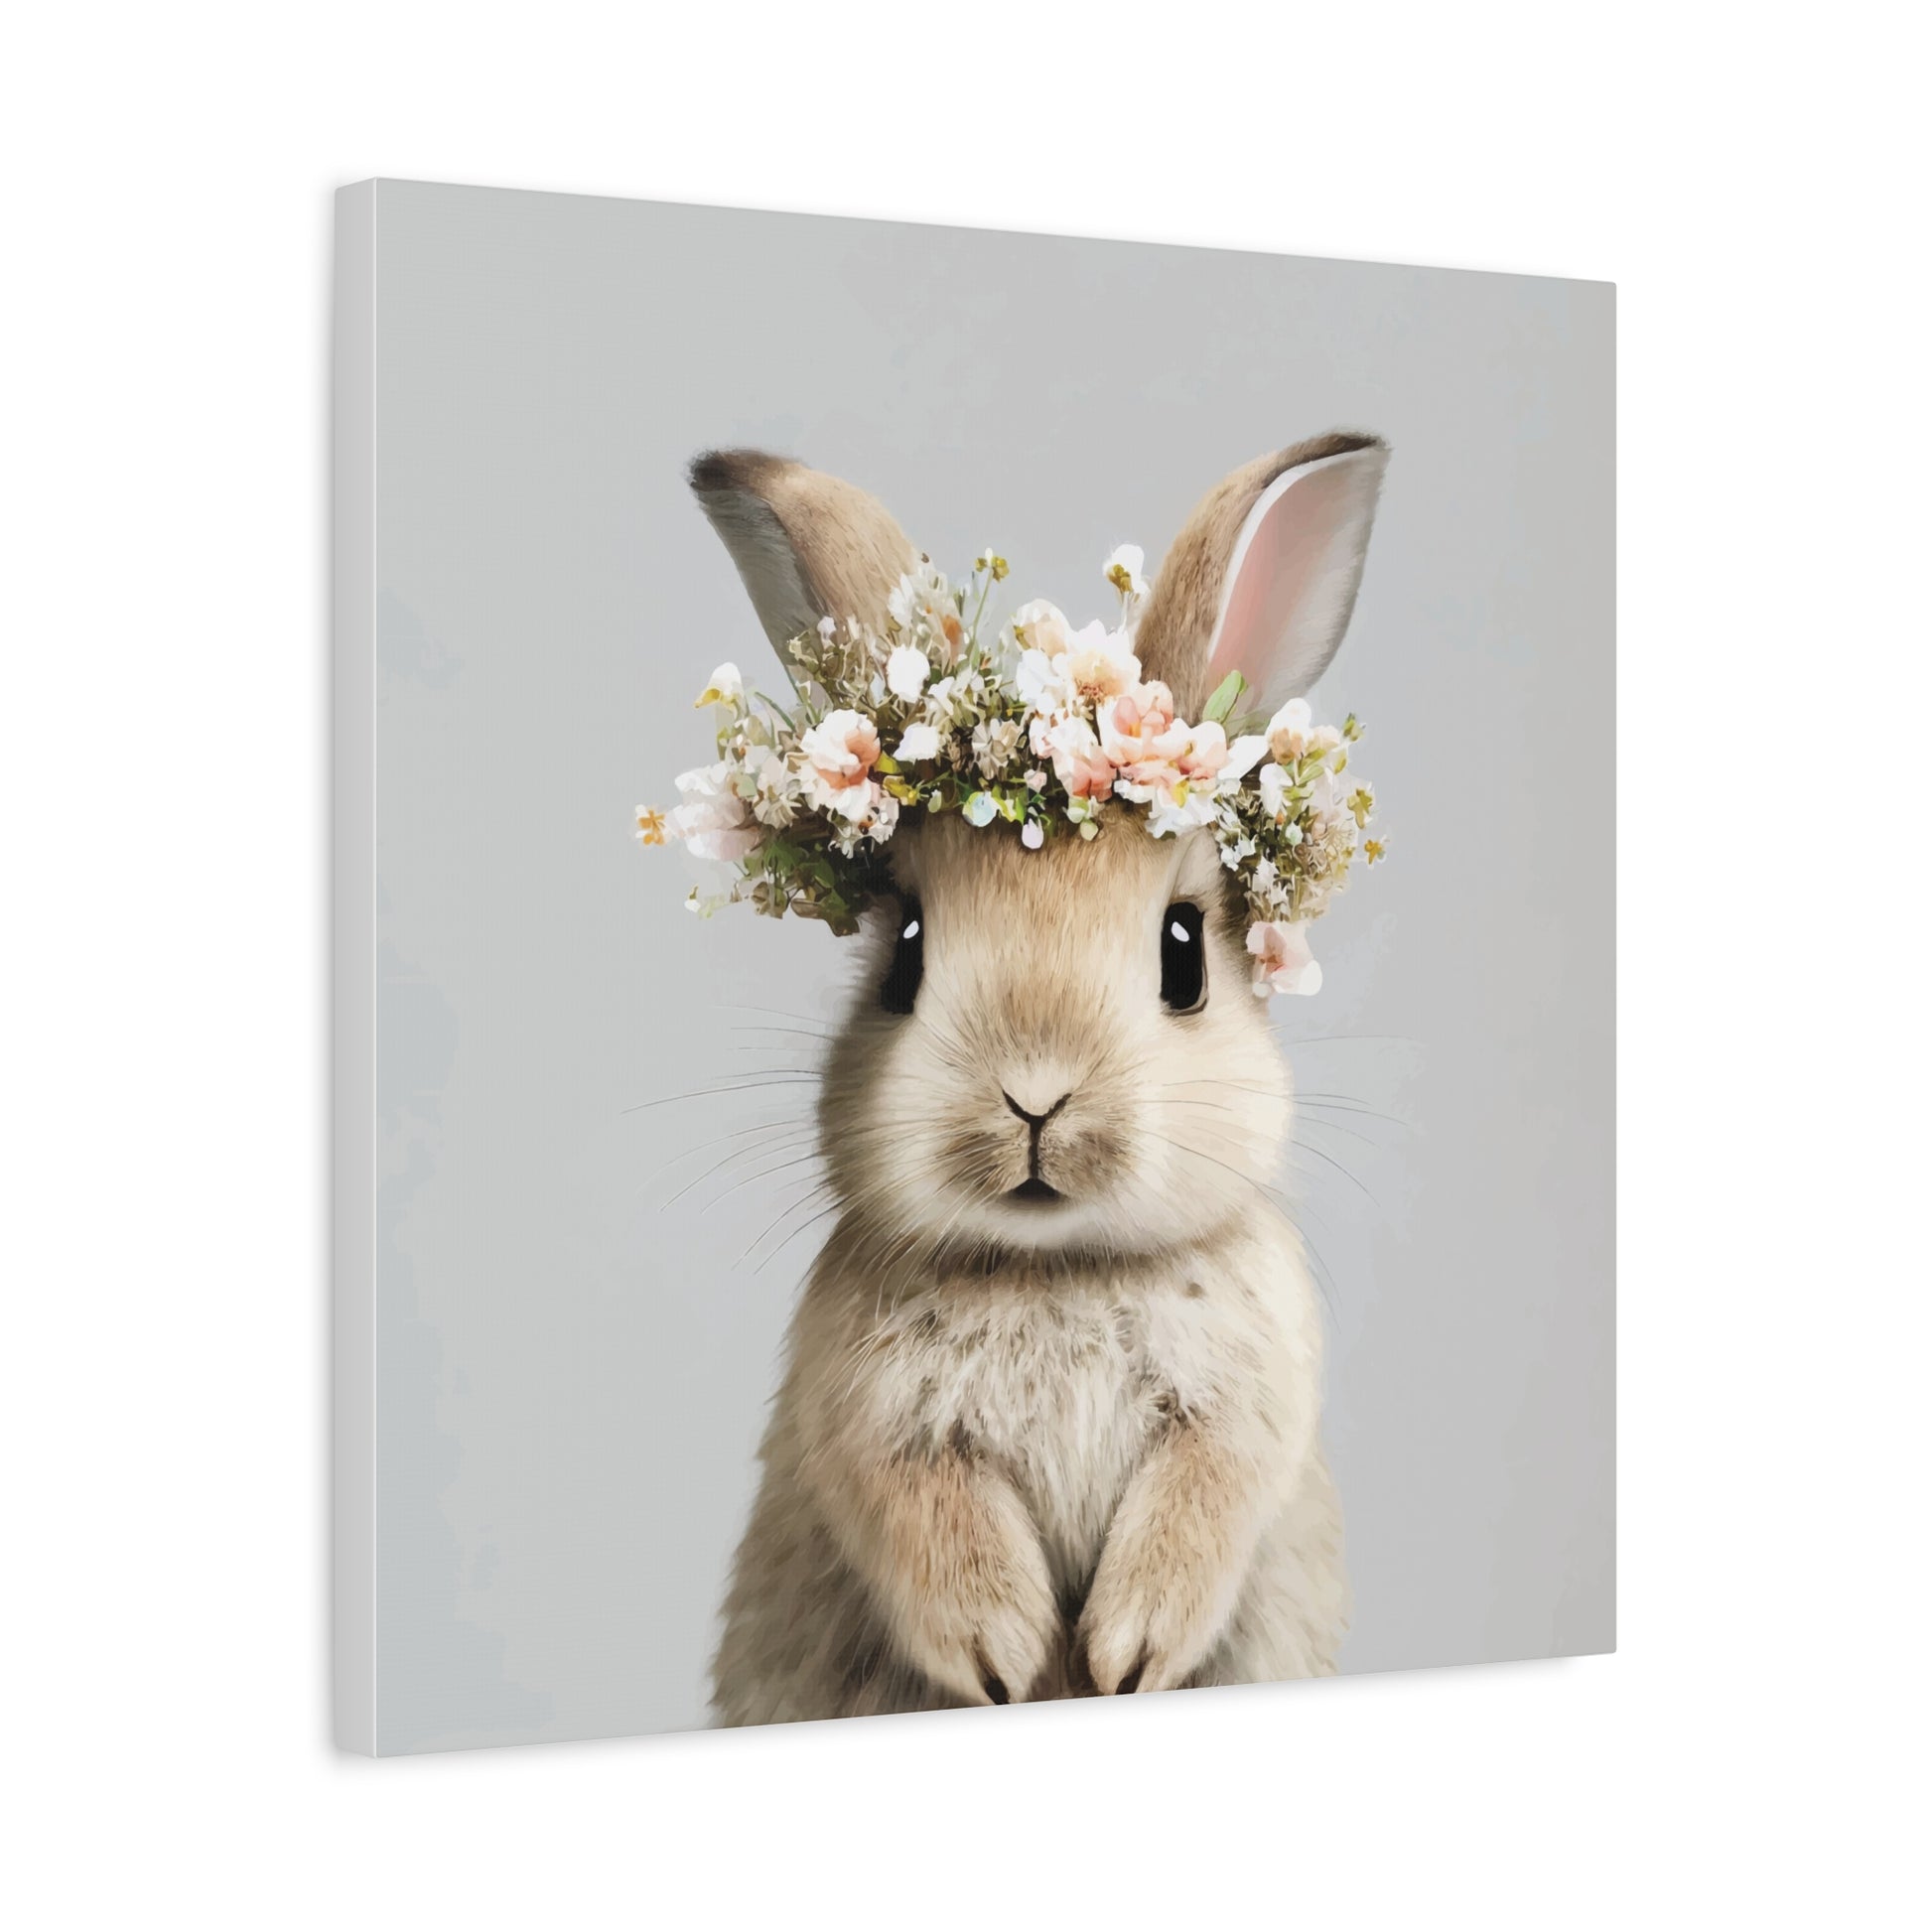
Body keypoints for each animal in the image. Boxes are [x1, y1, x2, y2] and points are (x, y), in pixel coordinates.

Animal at [688, 431, 1390, 1724]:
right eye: (905, 954)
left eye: (1183, 954)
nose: (1032, 1096)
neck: (1053, 1268)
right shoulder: (868, 1426)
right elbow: (923, 1516)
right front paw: (1008, 1657)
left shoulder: (1245, 1407)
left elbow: (1203, 1498)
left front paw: (1122, 1653)